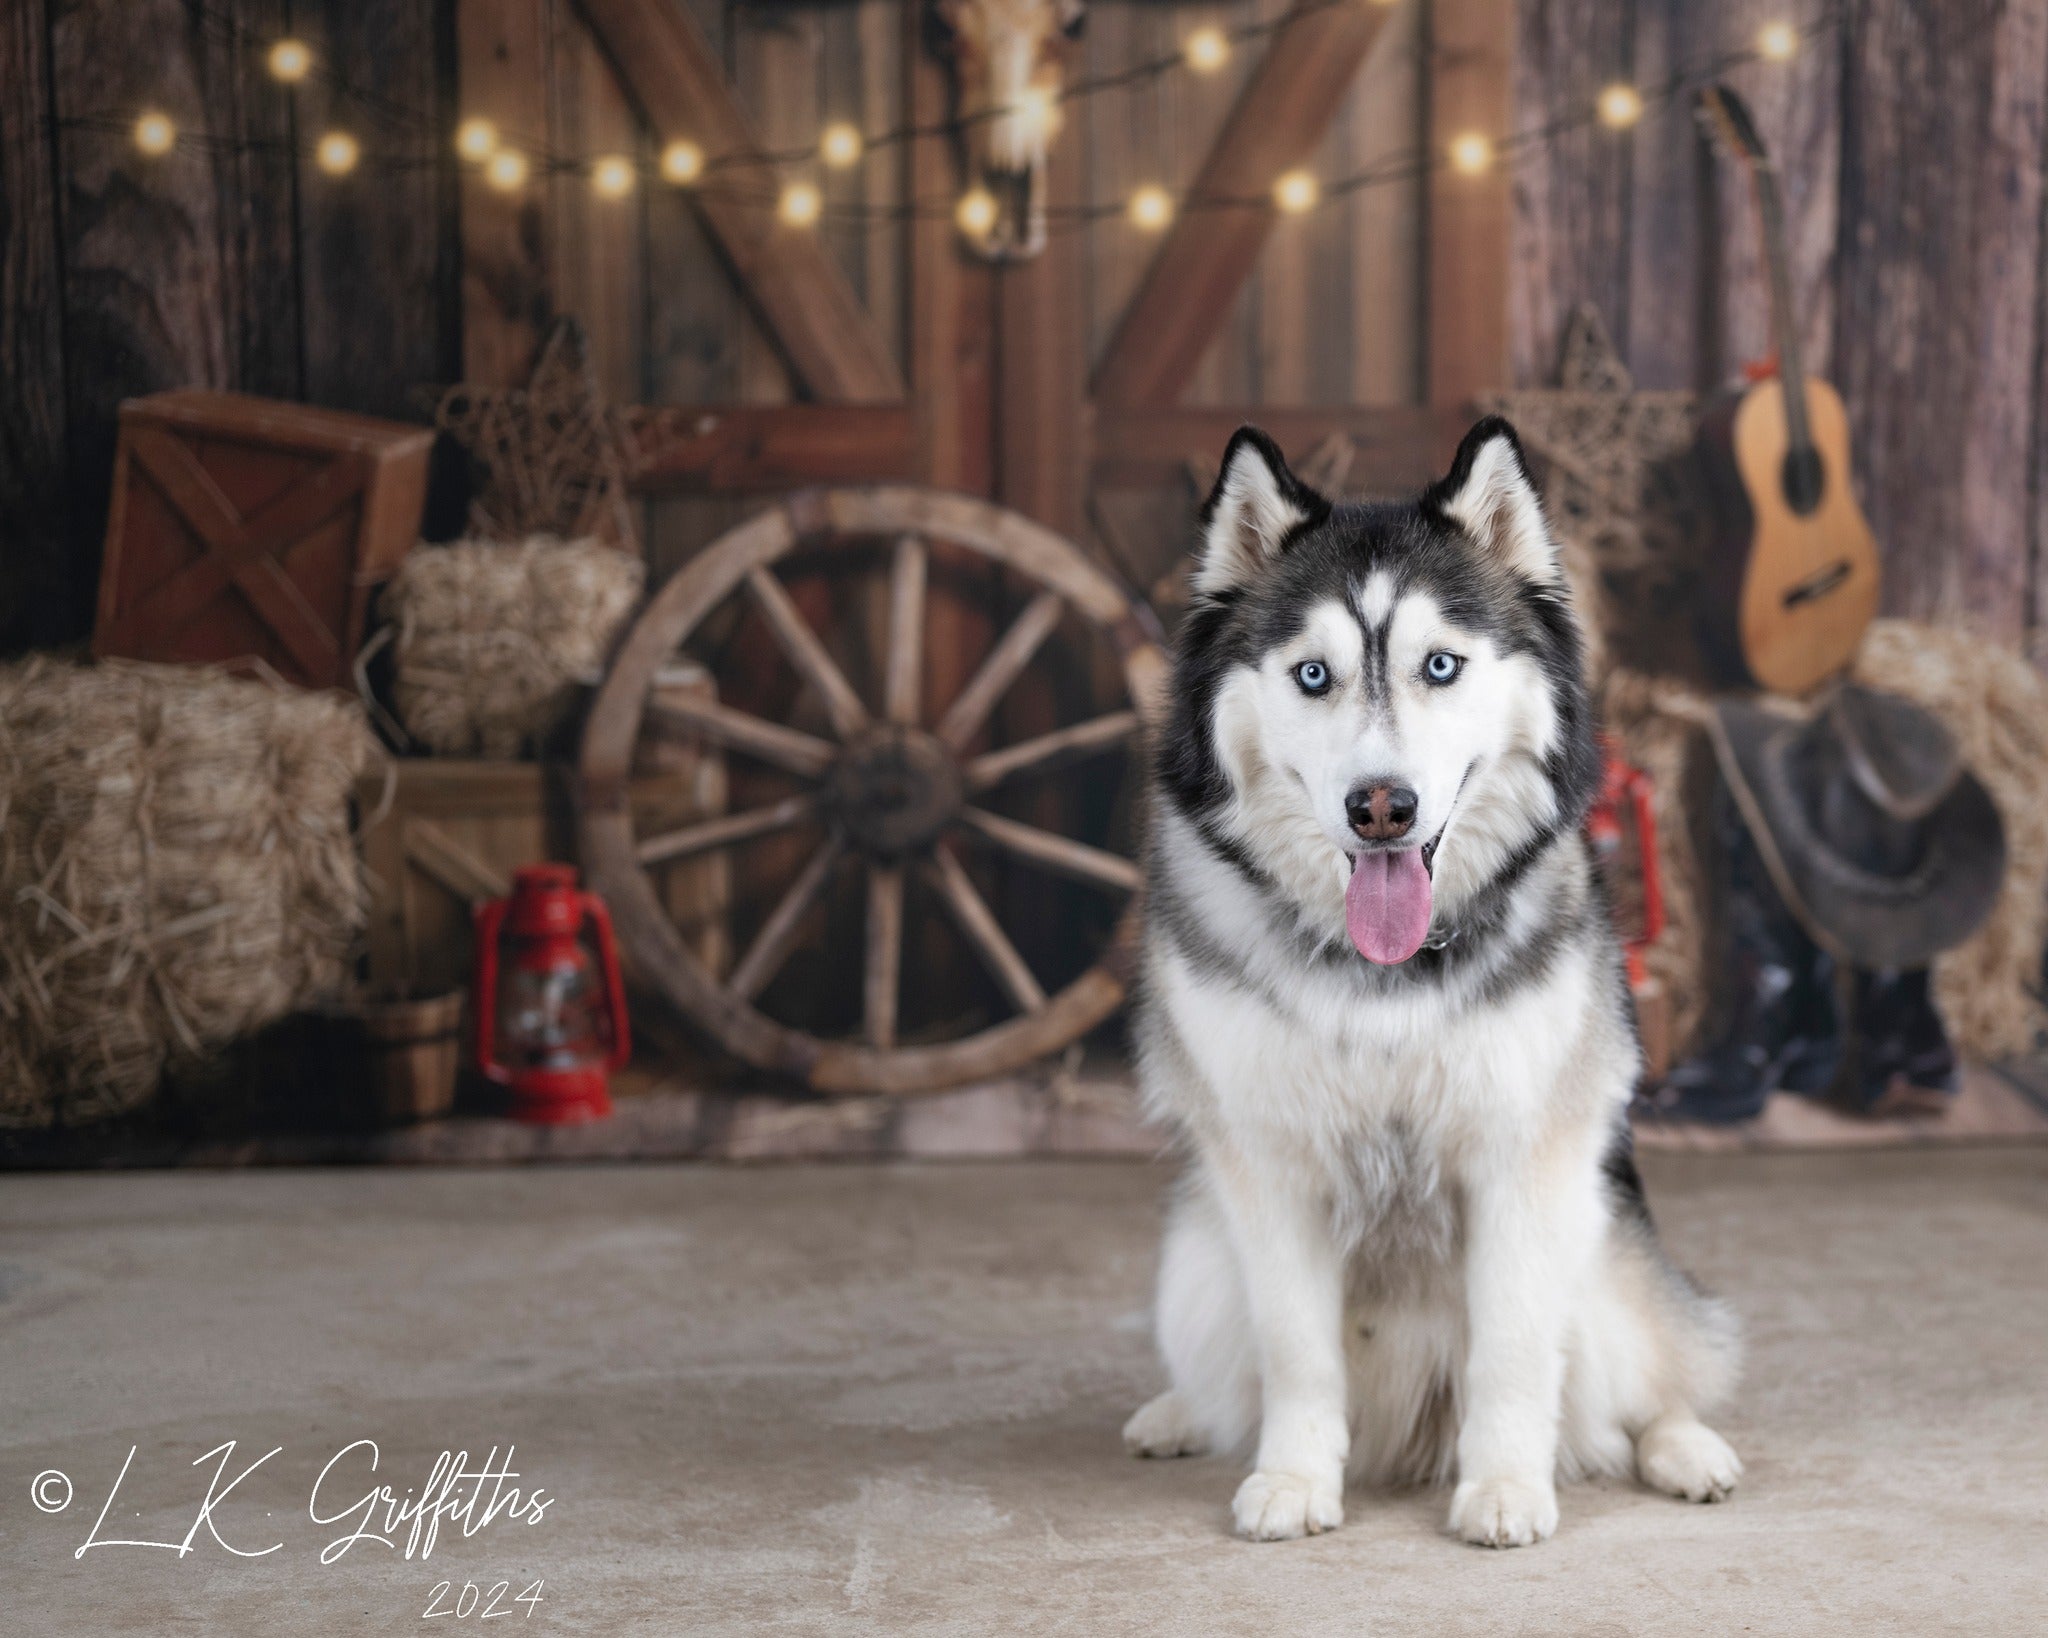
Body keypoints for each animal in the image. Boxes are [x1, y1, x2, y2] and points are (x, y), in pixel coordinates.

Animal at [1130, 415, 1736, 1539]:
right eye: (1312, 675)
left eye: (1441, 666)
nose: (1382, 807)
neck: (1388, 974)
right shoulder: (1269, 1167)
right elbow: (1295, 1351)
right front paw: (1293, 1478)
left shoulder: (1522, 1159)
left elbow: (1511, 1349)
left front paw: (1501, 1486)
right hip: (1193, 1264)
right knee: (1226, 1372)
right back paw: (1176, 1413)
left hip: (1607, 1253)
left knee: (1648, 1383)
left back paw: (1684, 1449)